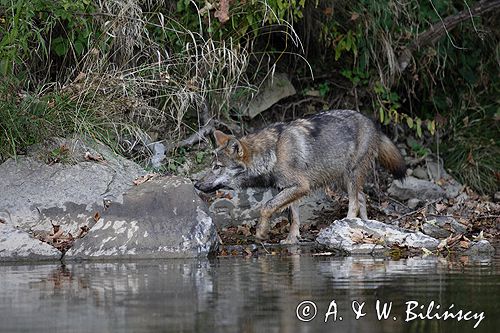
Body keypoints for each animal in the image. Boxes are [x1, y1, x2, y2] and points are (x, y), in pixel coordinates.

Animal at [192, 110, 406, 243]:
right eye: (211, 166)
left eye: (217, 167)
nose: (196, 184)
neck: (273, 153)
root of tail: (372, 122)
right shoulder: (288, 189)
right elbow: (293, 216)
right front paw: (291, 239)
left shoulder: (301, 186)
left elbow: (266, 207)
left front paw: (261, 232)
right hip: (341, 180)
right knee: (362, 197)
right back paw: (365, 224)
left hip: (349, 176)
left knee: (354, 202)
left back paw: (346, 224)